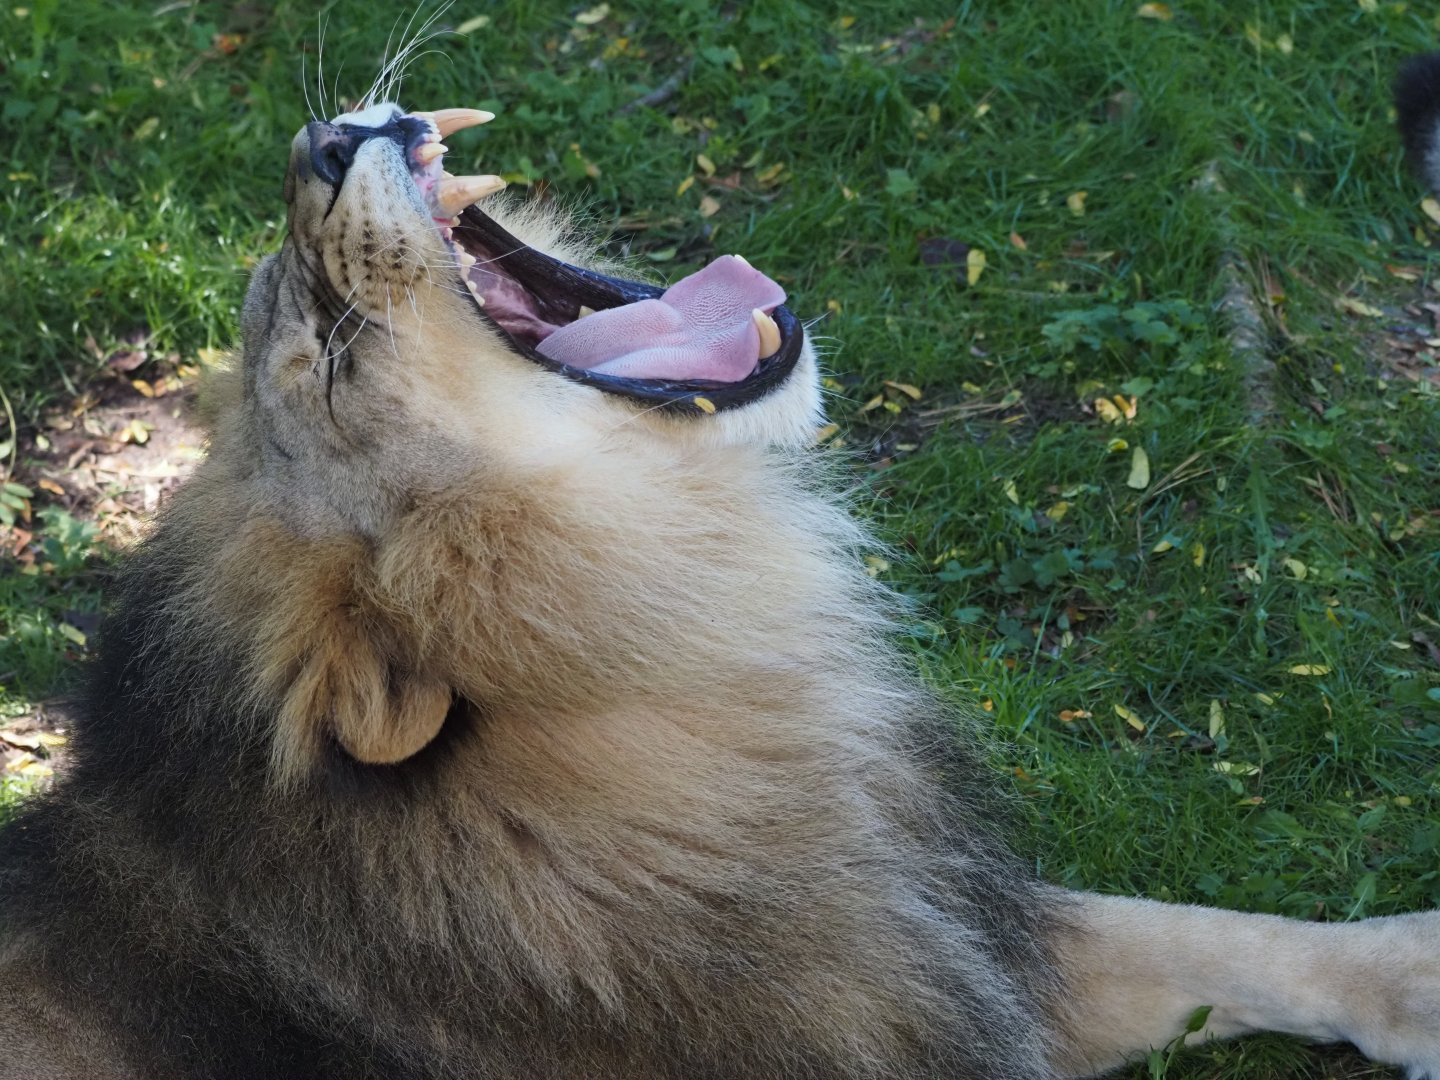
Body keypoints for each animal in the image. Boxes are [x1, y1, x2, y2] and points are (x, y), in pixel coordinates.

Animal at [0, 94, 1437, 1080]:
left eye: (291, 295)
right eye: (329, 349)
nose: (318, 140)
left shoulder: (927, 935)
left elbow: (1202, 930)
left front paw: (1416, 968)